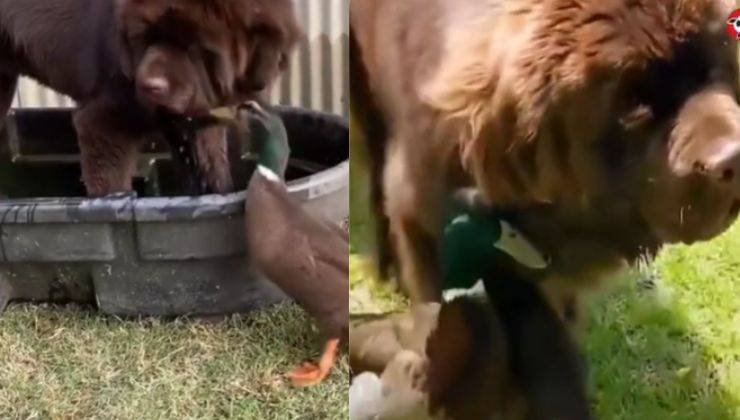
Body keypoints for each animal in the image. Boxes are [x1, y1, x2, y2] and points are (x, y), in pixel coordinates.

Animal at [0, 0, 300, 197]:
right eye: (145, 37)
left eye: (195, 46)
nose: (148, 86)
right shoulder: (104, 123)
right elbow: (111, 186)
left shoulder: (198, 123)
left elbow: (211, 168)